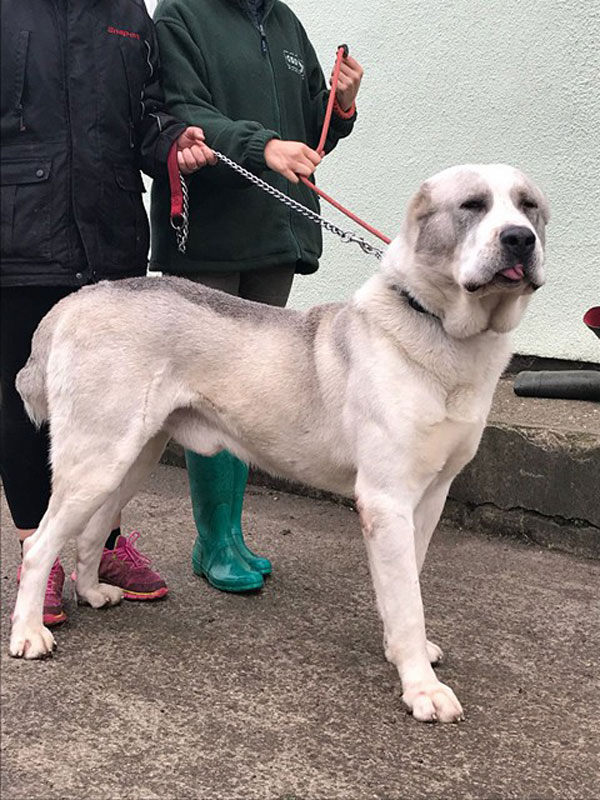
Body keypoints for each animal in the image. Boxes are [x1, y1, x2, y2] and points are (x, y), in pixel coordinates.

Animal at [9, 162, 548, 724]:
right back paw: (29, 632)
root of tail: (77, 299)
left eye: (529, 206)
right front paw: (422, 687)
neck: (439, 326)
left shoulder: (430, 497)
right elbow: (408, 602)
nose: (519, 239)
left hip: (133, 455)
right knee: (41, 543)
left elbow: (408, 586)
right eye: (472, 205)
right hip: (97, 459)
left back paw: (93, 592)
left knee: (92, 531)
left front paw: (407, 654)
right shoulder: (386, 501)